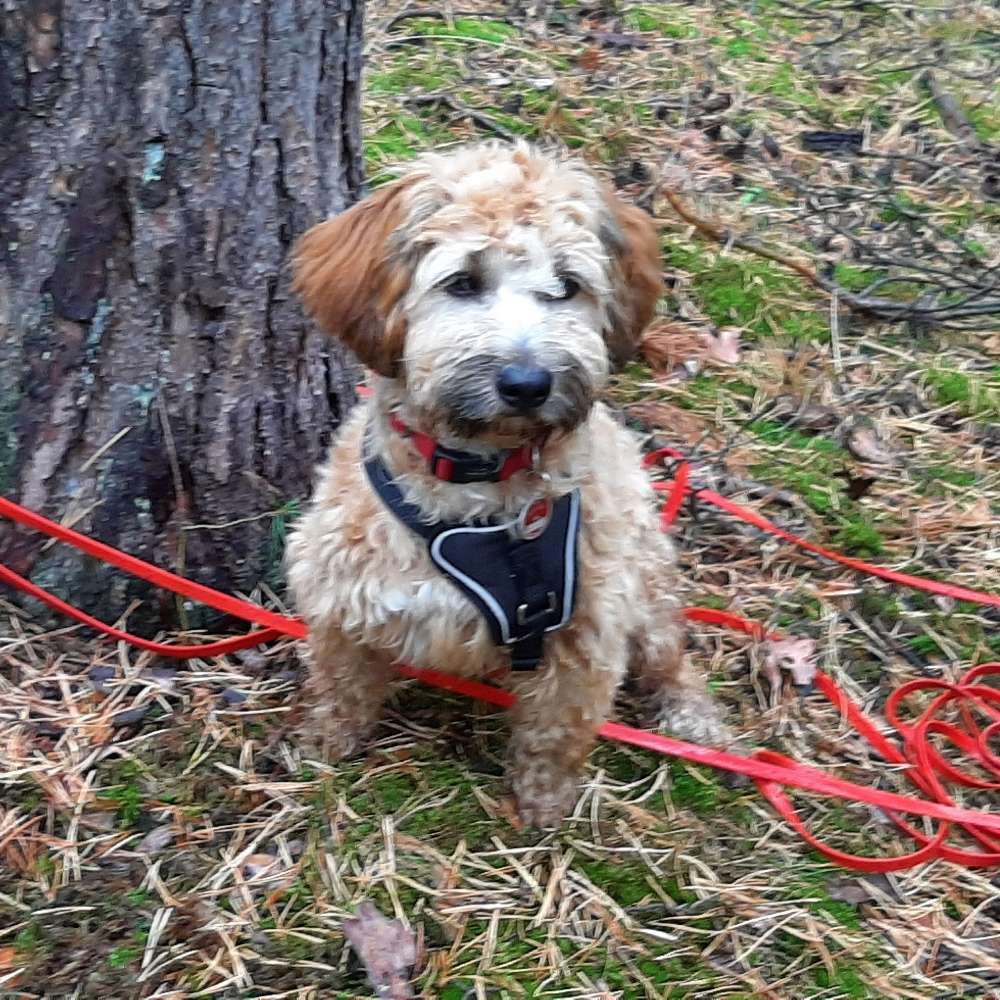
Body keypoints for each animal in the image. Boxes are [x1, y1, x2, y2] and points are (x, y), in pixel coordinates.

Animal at [286, 141, 732, 828]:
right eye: (463, 281)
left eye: (568, 285)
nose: (527, 383)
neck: (477, 476)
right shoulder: (339, 599)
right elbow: (341, 686)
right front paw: (323, 747)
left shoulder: (586, 633)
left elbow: (557, 733)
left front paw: (543, 809)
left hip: (648, 582)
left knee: (670, 656)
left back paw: (692, 715)